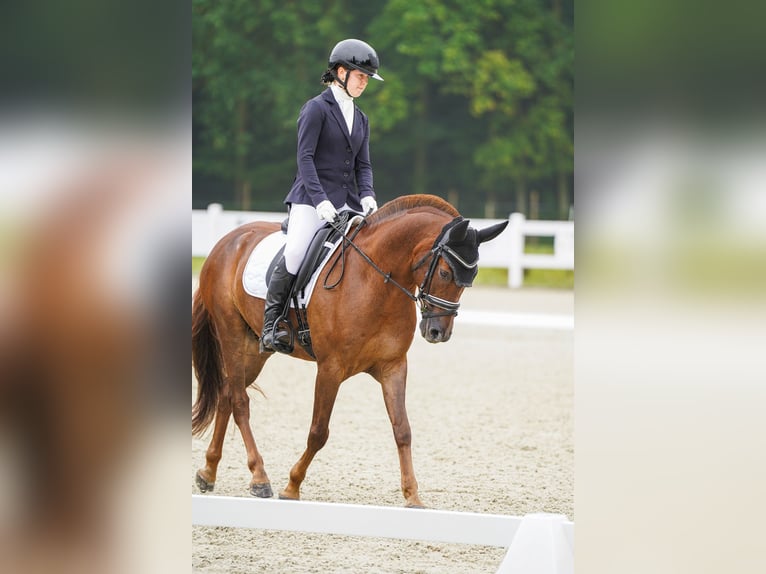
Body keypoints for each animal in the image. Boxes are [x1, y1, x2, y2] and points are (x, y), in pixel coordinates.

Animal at [191, 194, 508, 507]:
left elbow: (402, 430)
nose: (438, 333)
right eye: (444, 272)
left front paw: (413, 496)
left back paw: (208, 471)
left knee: (227, 395)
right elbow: (318, 432)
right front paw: (292, 486)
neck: (374, 281)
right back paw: (259, 478)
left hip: (255, 349)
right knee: (239, 401)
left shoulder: (393, 366)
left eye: (472, 277)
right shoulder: (330, 368)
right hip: (232, 336)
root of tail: (226, 241)